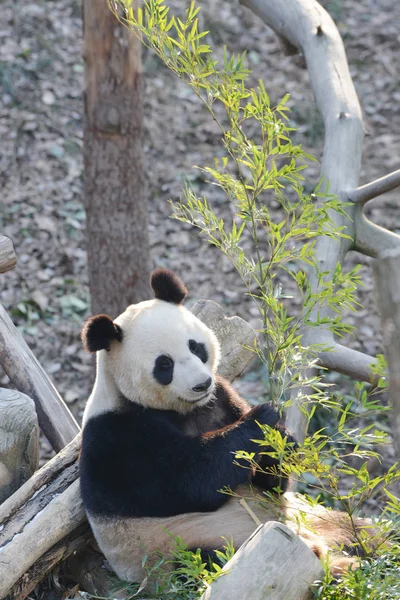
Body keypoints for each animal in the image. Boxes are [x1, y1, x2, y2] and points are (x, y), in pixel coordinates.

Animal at [80, 270, 376, 584]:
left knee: (359, 528)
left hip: (315, 518)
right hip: (183, 547)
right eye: (164, 365)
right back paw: (338, 567)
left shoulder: (220, 398)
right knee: (208, 559)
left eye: (195, 346)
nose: (201, 384)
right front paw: (262, 417)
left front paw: (281, 442)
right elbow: (192, 479)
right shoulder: (120, 438)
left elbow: (267, 481)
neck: (180, 408)